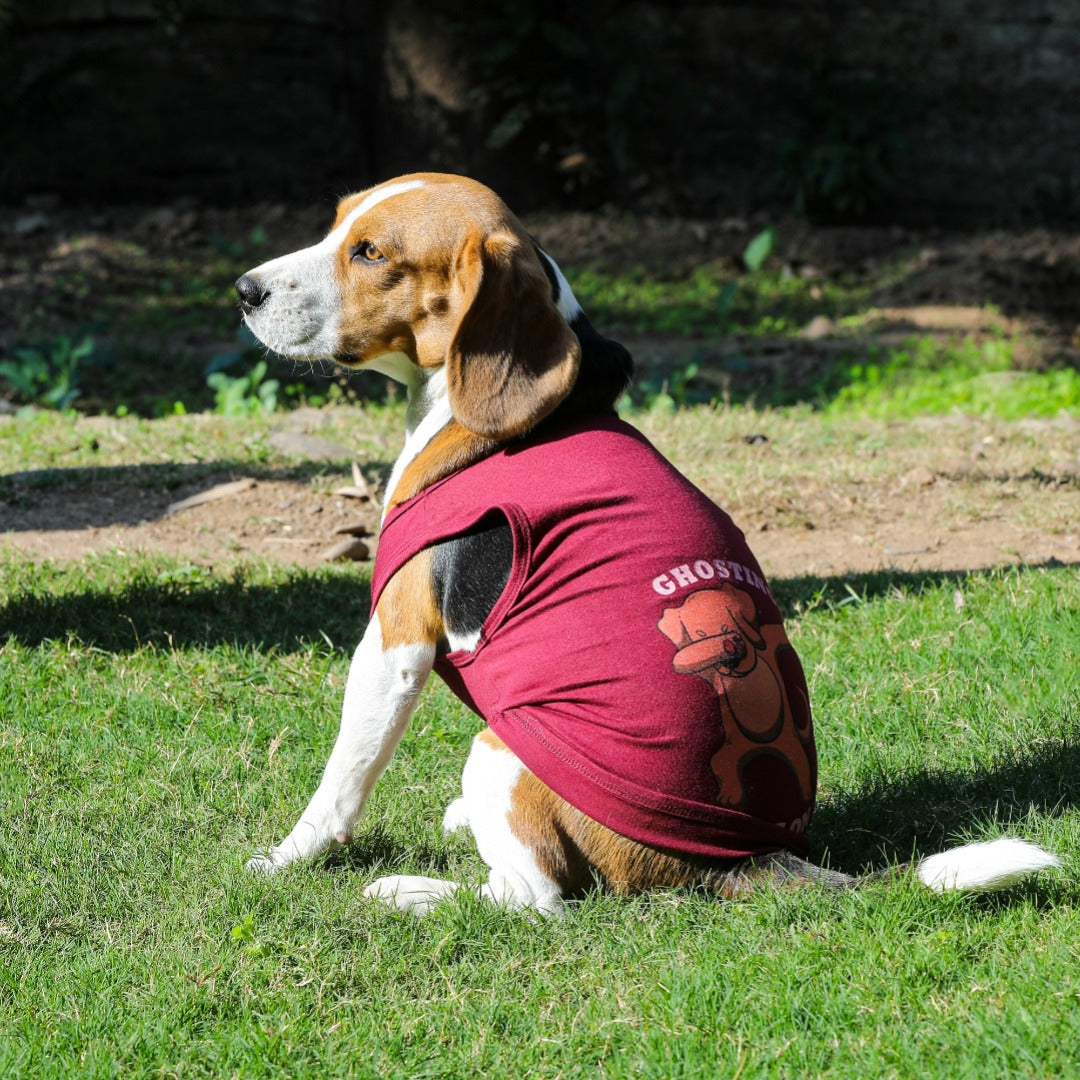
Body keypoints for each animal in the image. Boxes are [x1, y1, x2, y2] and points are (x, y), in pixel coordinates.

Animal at [236, 172, 1054, 915]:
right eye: (336, 225)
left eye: (371, 253)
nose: (244, 290)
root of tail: (748, 858)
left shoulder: (396, 639)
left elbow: (342, 778)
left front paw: (287, 857)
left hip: (500, 749)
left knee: (532, 899)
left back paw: (410, 891)